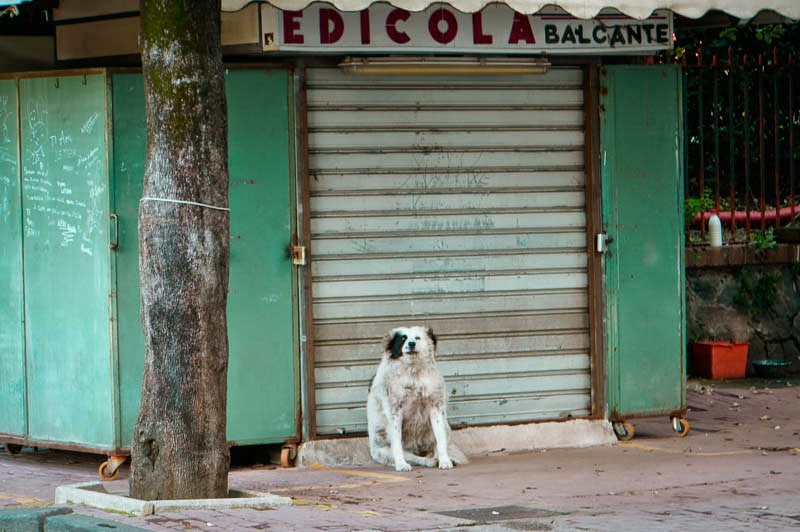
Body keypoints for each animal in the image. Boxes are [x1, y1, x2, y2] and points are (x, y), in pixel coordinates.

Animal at [366, 325, 467, 471]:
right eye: (403, 338)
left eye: (417, 338)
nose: (411, 343)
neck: (413, 373)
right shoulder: (395, 411)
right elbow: (397, 443)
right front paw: (401, 464)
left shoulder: (436, 406)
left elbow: (440, 440)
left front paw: (445, 461)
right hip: (384, 451)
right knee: (415, 458)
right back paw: (426, 461)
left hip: (445, 428)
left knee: (436, 448)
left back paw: (443, 459)